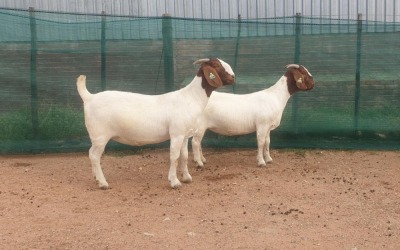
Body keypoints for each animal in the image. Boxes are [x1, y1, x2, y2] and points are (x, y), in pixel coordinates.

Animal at [76, 57, 236, 188]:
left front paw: (186, 178)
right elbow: (174, 157)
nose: (233, 77)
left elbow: (184, 156)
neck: (190, 98)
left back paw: (97, 179)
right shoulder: (176, 134)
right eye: (216, 65)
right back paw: (102, 182)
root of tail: (89, 97)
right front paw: (174, 182)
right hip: (99, 136)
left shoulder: (185, 135)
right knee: (94, 156)